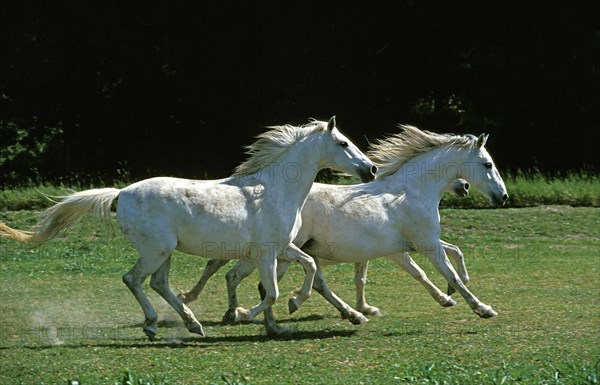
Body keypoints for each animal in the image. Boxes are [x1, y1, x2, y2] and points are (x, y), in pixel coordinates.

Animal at [0, 117, 376, 340]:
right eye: (343, 143)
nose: (370, 168)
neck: (275, 190)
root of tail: (120, 194)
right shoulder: (267, 253)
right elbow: (270, 292)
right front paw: (244, 315)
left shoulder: (283, 248)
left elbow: (308, 267)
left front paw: (286, 313)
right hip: (156, 250)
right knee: (133, 279)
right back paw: (155, 324)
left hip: (164, 252)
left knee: (158, 284)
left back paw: (191, 323)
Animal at [182, 124, 506, 332]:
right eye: (488, 164)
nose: (502, 197)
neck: (409, 193)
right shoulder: (425, 244)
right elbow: (444, 272)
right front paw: (480, 308)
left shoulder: (409, 247)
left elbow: (444, 260)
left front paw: (446, 297)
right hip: (277, 251)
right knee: (241, 275)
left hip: (283, 252)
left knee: (263, 280)